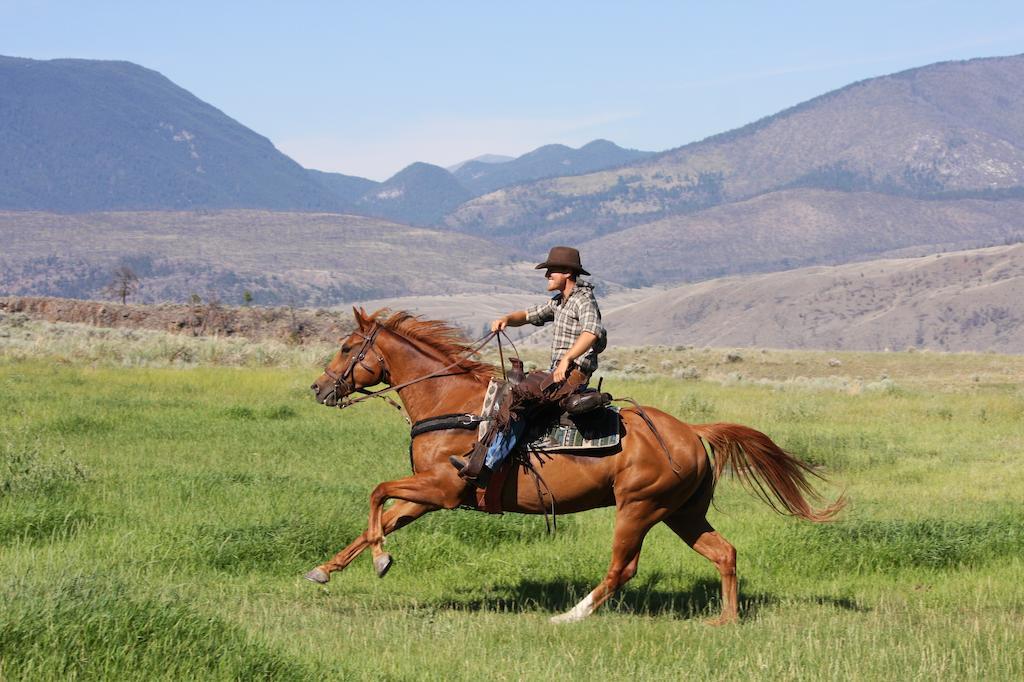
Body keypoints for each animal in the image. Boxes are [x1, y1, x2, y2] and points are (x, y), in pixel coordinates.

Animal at [305, 307, 839, 622]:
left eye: (348, 348)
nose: (319, 388)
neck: (452, 403)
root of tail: (692, 431)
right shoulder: (430, 494)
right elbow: (384, 518)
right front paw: (326, 569)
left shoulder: (442, 489)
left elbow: (376, 493)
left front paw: (379, 561)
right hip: (683, 513)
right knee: (724, 553)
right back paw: (726, 620)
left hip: (639, 509)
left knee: (623, 567)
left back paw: (571, 616)